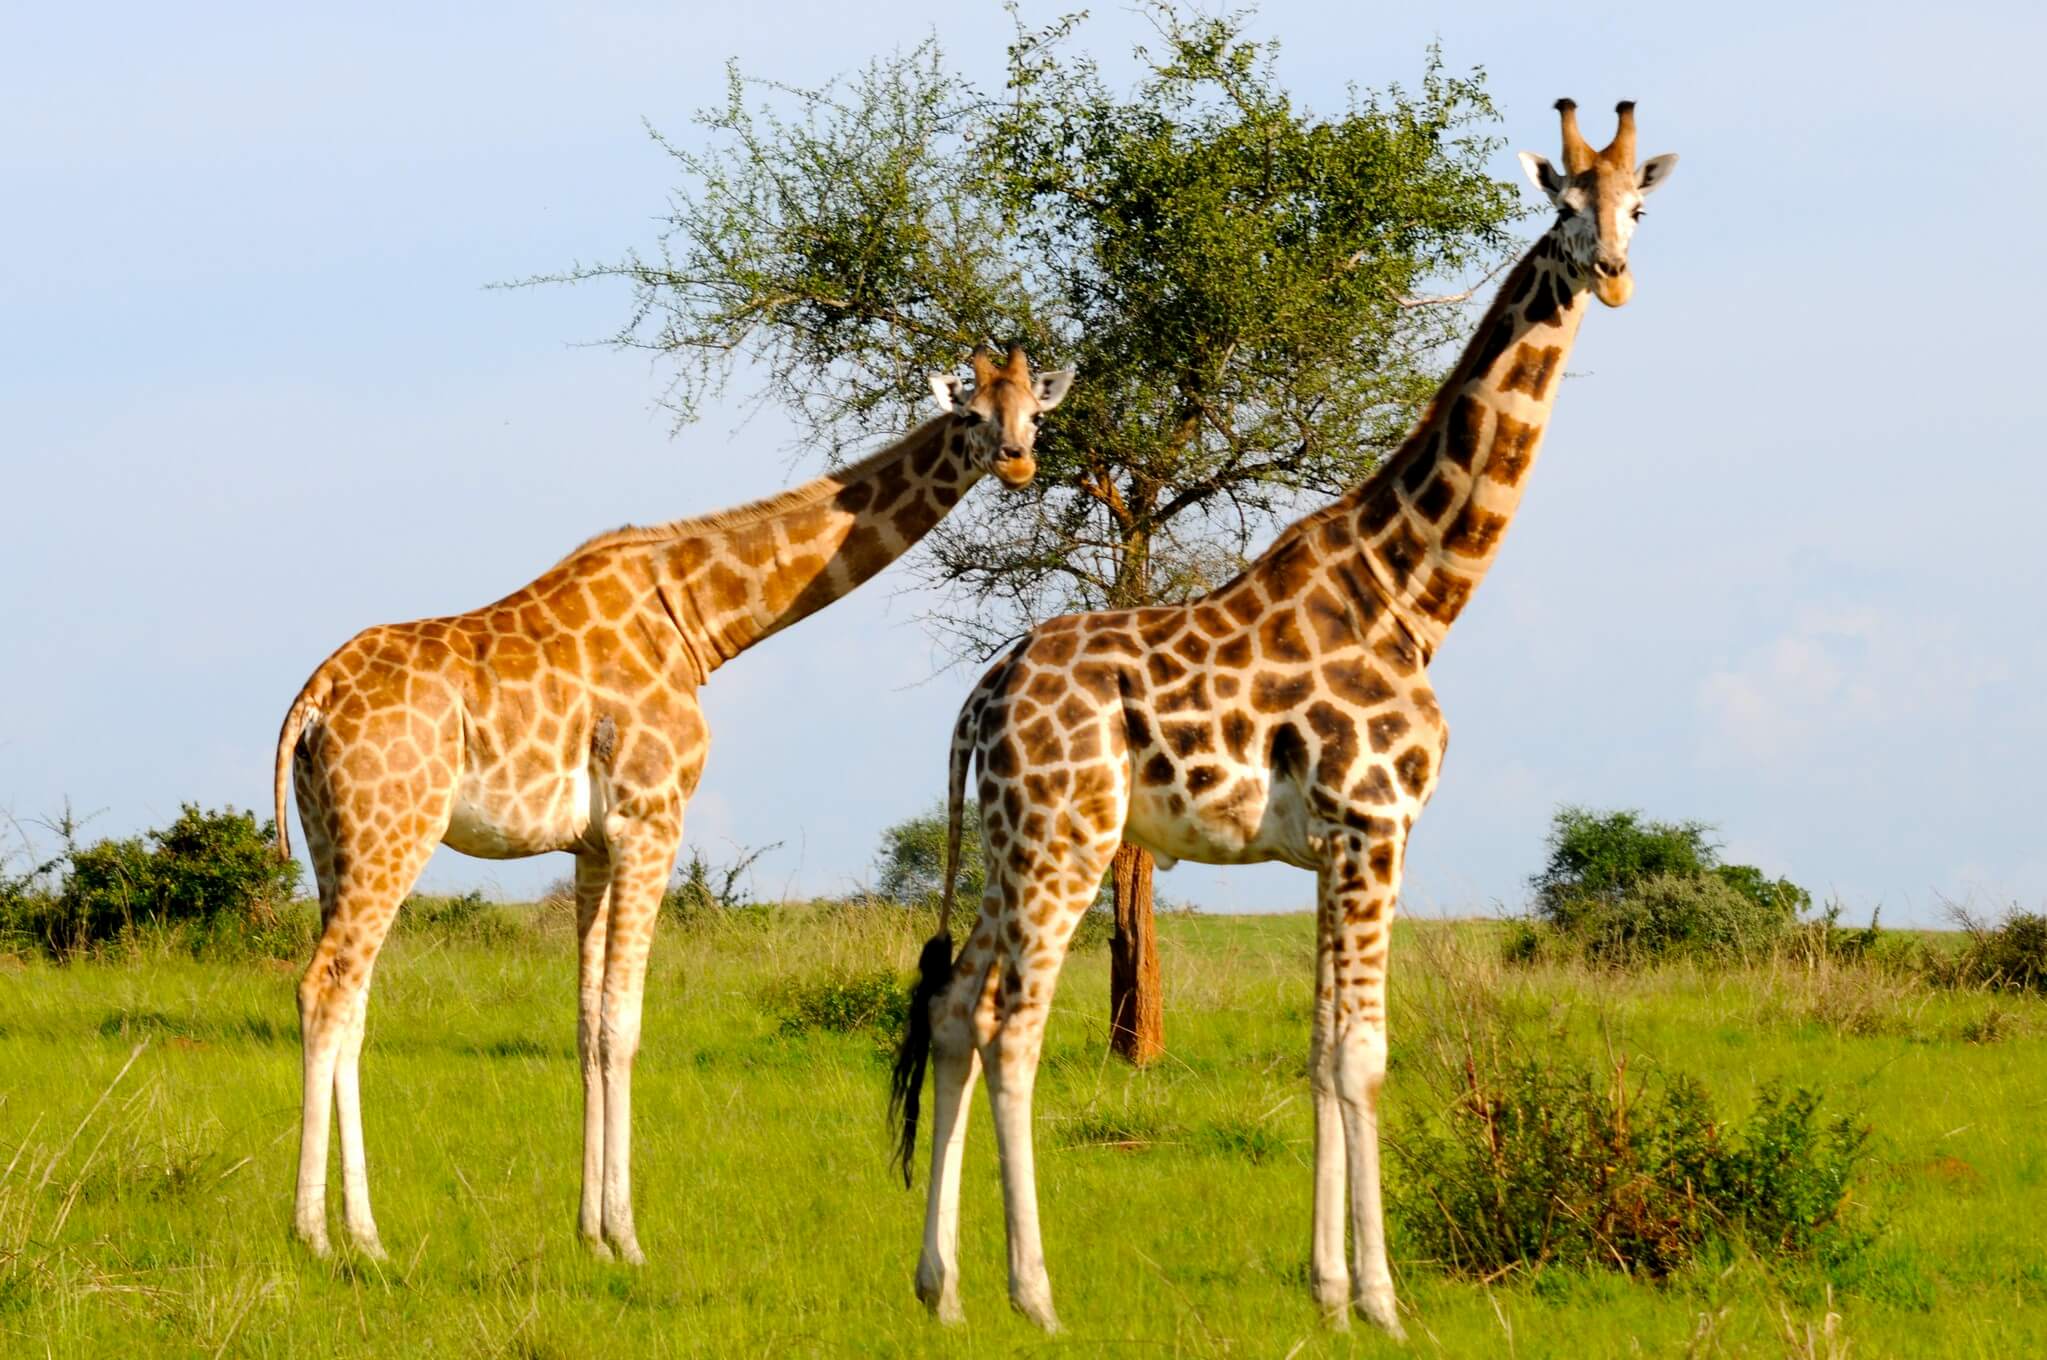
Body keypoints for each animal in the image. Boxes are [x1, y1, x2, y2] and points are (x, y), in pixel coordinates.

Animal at [274, 344, 1074, 1263]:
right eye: (970, 413)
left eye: (1035, 414)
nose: (1017, 461)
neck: (697, 621)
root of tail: (314, 701)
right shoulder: (650, 819)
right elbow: (624, 1023)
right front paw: (627, 1237)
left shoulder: (590, 845)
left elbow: (586, 1025)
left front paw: (588, 1234)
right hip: (395, 829)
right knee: (325, 985)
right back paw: (316, 1233)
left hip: (333, 840)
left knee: (355, 998)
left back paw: (362, 1234)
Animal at [889, 103, 1677, 1334]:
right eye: (1561, 204)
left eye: (1636, 205)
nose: (1611, 273)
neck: (1411, 593)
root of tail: (983, 695)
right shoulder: (1375, 826)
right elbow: (1363, 1057)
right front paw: (1386, 1302)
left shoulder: (1327, 849)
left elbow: (1315, 1051)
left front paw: (1329, 1292)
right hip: (1068, 838)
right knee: (1013, 1027)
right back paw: (1036, 1294)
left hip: (1015, 845)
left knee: (955, 1009)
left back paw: (944, 1289)